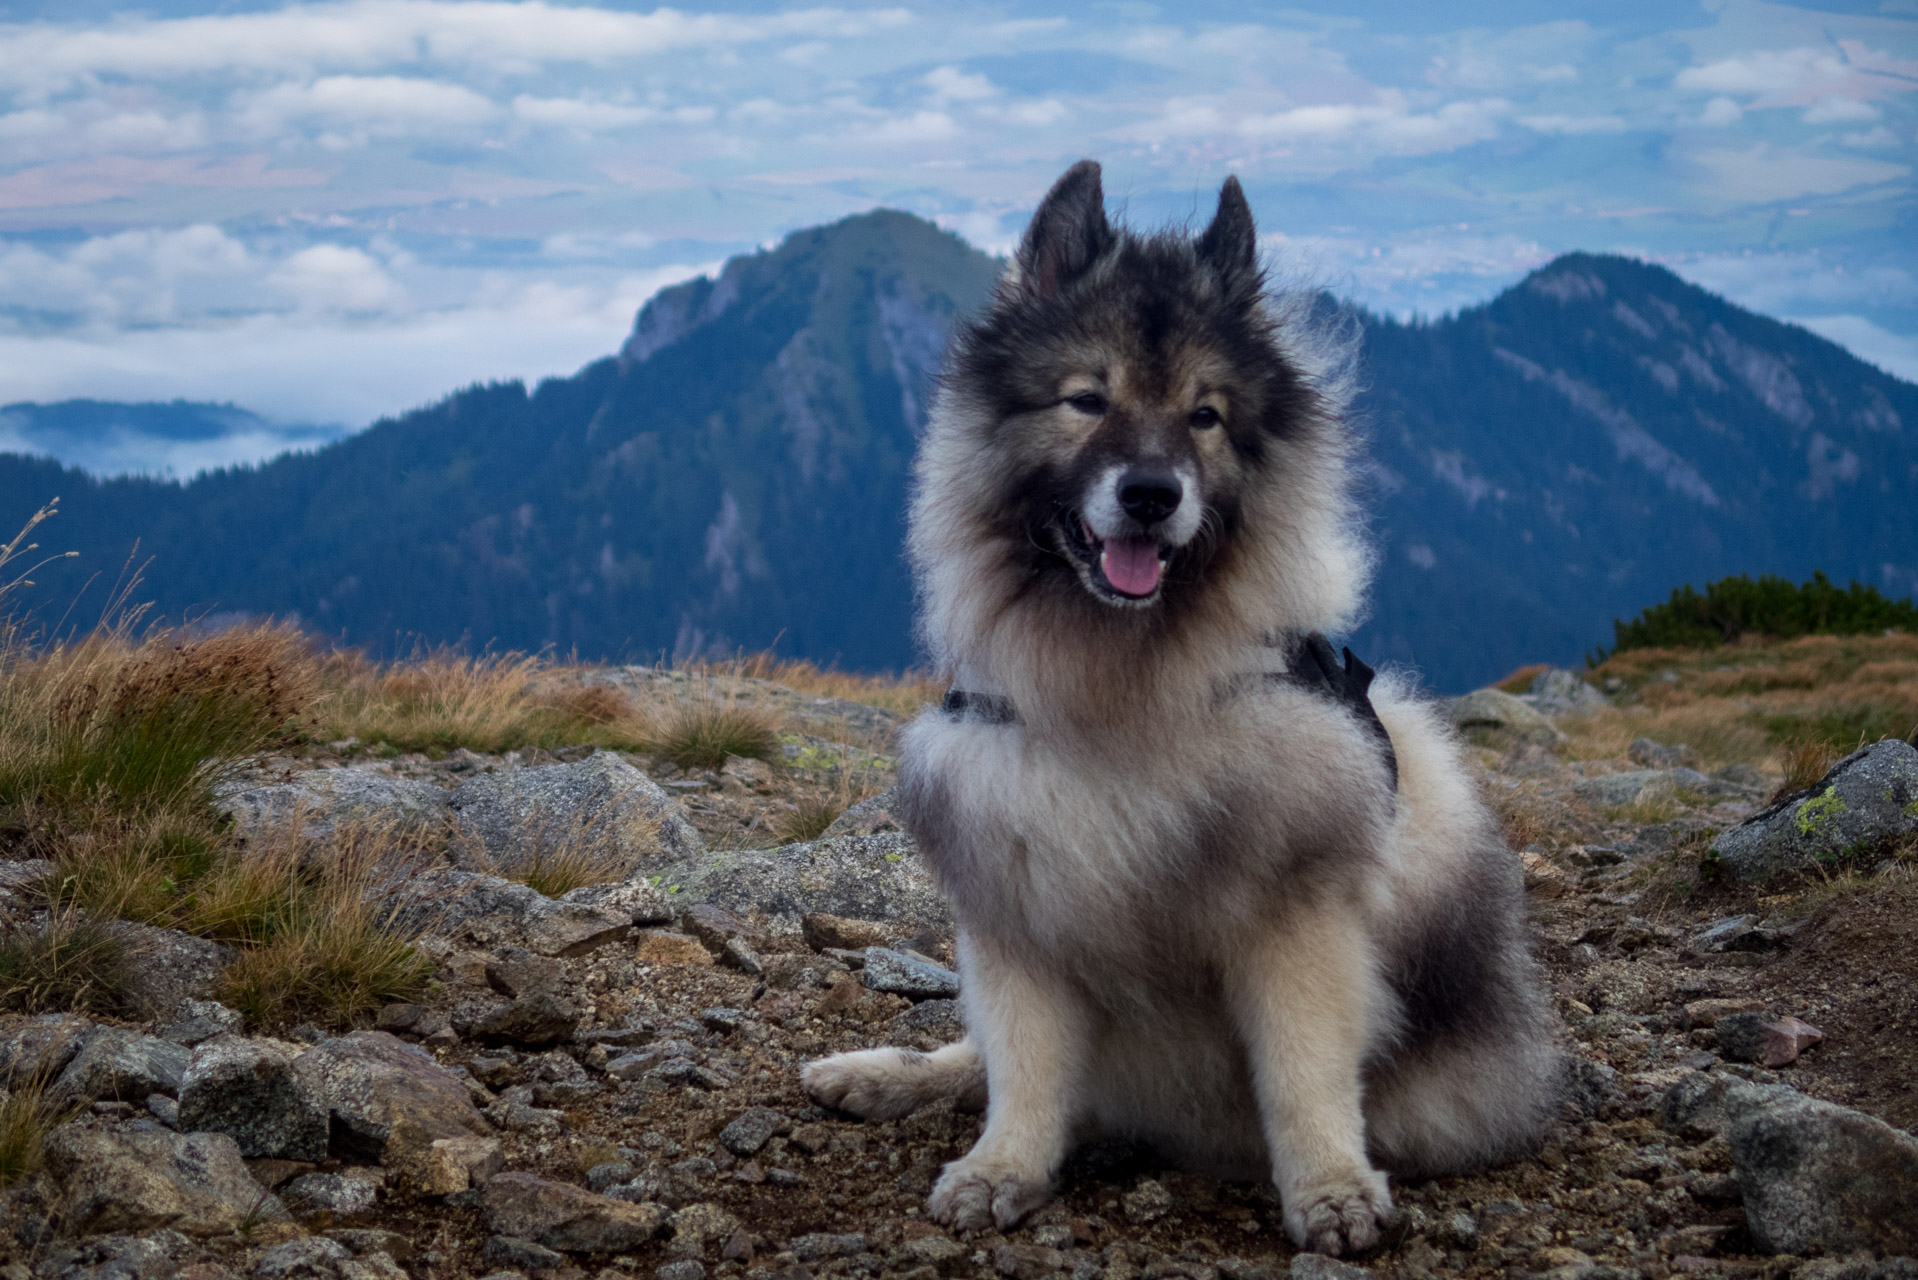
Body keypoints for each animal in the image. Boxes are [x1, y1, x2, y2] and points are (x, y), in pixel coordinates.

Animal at [794, 157, 1557, 1251]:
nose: (1152, 494)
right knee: (980, 1057)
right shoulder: (1015, 910)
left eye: (1206, 416)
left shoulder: (1295, 916)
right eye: (1085, 399)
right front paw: (1004, 1166)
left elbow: (1304, 1071)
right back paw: (878, 1076)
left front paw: (1330, 1187)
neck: (1124, 696)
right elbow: (1025, 1067)